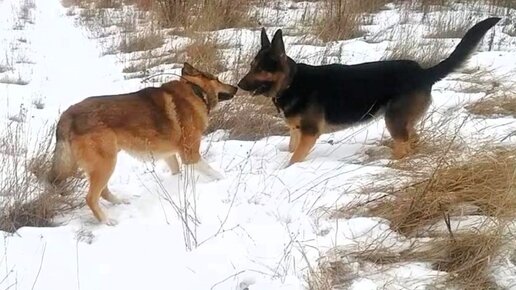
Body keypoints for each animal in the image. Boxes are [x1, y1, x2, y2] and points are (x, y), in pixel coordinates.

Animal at [48, 62, 238, 224]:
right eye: (217, 79)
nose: (236, 87)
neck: (195, 90)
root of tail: (67, 115)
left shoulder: (170, 155)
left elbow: (177, 172)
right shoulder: (190, 155)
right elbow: (212, 171)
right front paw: (224, 179)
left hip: (105, 162)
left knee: (103, 192)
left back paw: (120, 201)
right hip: (106, 163)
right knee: (91, 197)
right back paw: (107, 221)